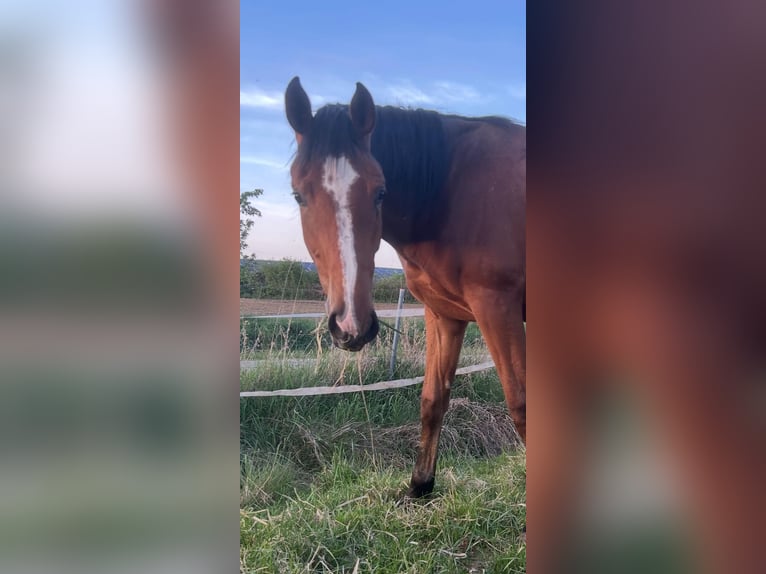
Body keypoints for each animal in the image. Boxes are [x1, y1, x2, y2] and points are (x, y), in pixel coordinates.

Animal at [284, 77, 526, 498]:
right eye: (299, 194)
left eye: (381, 192)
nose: (351, 326)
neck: (449, 194)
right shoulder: (443, 314)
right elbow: (433, 399)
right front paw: (420, 486)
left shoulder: (499, 308)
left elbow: (522, 407)